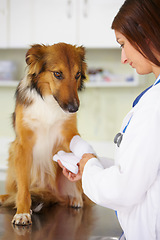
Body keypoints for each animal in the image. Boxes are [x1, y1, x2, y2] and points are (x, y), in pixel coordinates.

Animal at [0, 42, 88, 225]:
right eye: (57, 74)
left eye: (77, 74)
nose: (74, 109)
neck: (49, 101)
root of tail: (51, 193)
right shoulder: (22, 145)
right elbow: (23, 188)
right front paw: (22, 212)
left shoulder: (69, 135)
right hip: (12, 156)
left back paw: (76, 198)